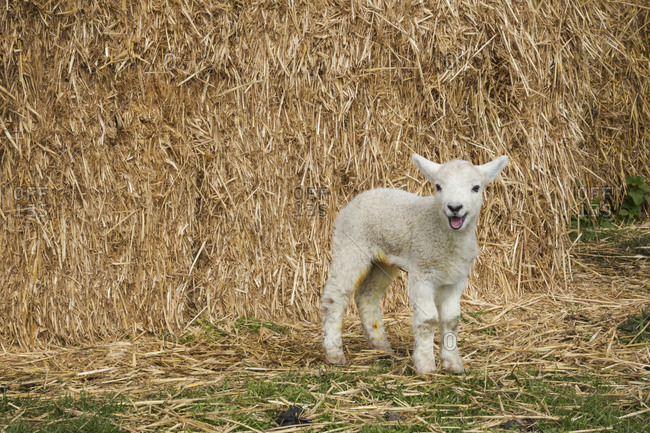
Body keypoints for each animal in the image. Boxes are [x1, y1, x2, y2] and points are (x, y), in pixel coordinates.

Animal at [321, 154, 508, 374]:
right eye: (438, 186)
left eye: (476, 187)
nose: (454, 208)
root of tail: (364, 194)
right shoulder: (422, 272)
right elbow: (428, 319)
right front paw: (426, 366)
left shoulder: (456, 278)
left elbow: (451, 319)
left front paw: (453, 364)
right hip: (351, 246)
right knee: (335, 296)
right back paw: (334, 353)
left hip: (383, 261)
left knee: (367, 294)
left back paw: (380, 346)